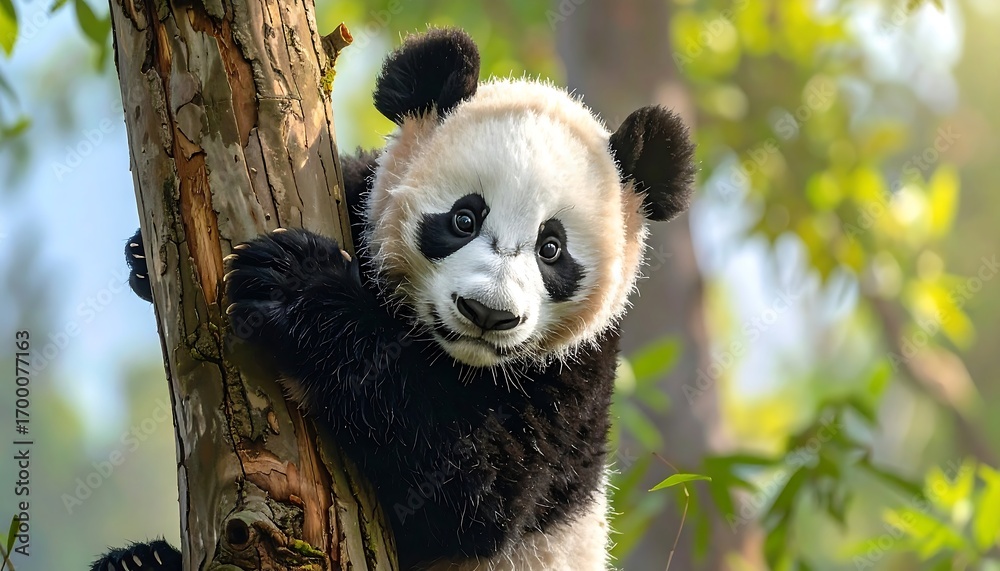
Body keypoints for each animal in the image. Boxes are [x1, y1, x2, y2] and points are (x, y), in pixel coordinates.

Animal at [96, 28, 695, 571]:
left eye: (552, 249)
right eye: (464, 218)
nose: (487, 313)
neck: (448, 357)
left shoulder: (574, 383)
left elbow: (471, 486)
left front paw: (293, 282)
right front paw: (143, 256)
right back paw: (138, 563)